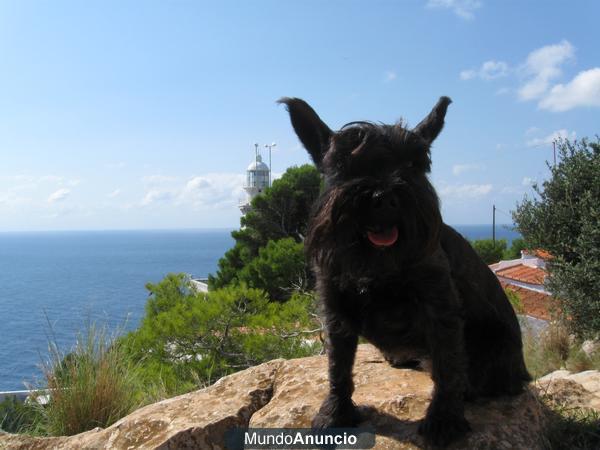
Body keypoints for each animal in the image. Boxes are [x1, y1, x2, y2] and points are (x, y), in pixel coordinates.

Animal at [278, 97, 532, 446]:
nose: (383, 197)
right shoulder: (336, 311)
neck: (377, 264)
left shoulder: (440, 309)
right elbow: (338, 366)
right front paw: (335, 414)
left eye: (415, 163)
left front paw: (443, 421)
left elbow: (448, 366)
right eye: (342, 163)